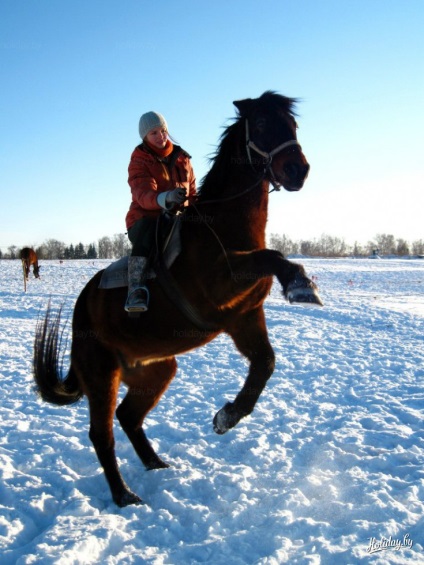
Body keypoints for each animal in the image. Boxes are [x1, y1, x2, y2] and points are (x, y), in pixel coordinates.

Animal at [33, 90, 322, 504]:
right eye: (263, 122)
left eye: (293, 123)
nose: (298, 169)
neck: (222, 227)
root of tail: (80, 310)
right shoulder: (221, 287)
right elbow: (272, 256)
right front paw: (300, 284)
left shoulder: (244, 318)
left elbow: (265, 364)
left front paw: (226, 417)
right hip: (102, 375)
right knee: (102, 434)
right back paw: (124, 496)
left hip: (156, 370)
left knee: (128, 417)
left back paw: (156, 465)